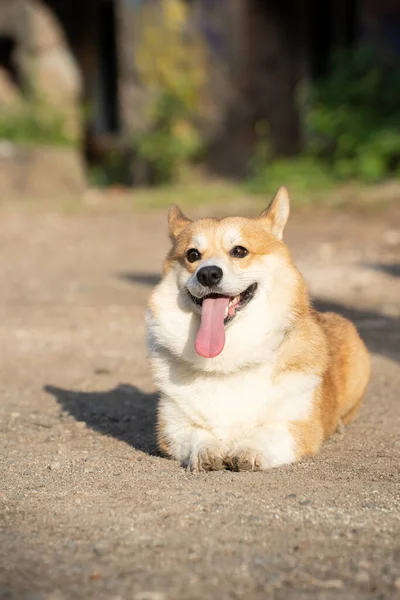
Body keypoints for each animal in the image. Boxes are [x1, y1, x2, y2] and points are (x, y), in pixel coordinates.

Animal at [145, 189, 370, 474]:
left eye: (239, 251)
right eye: (193, 255)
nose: (207, 274)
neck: (229, 359)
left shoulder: (298, 425)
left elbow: (269, 432)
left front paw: (249, 450)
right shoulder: (172, 426)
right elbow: (196, 434)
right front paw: (207, 450)